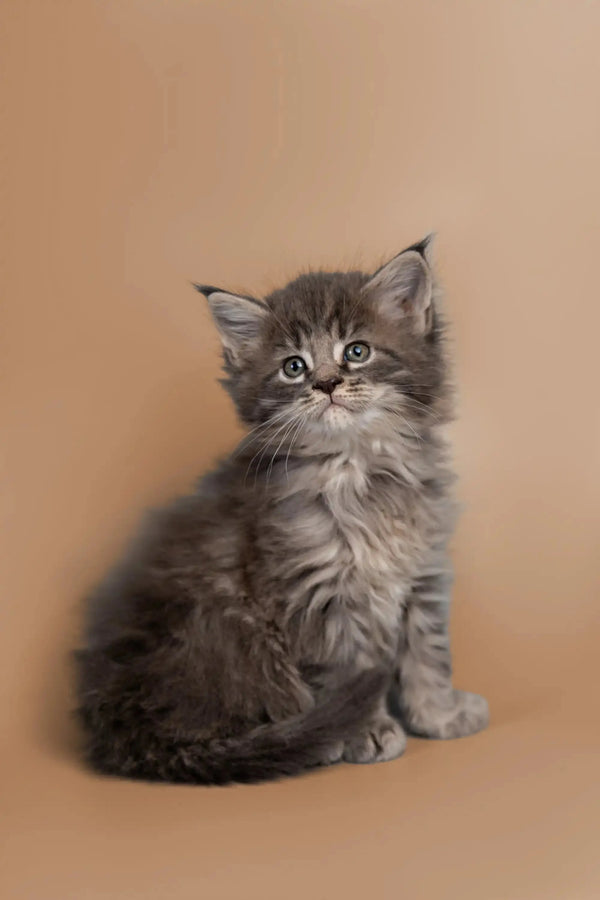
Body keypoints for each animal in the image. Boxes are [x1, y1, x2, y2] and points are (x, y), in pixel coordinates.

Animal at [75, 237, 488, 780]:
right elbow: (350, 671)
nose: (327, 384)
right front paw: (366, 732)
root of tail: (119, 722)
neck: (356, 472)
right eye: (294, 366)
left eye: (357, 352)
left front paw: (440, 714)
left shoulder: (422, 576)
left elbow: (428, 655)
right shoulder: (314, 592)